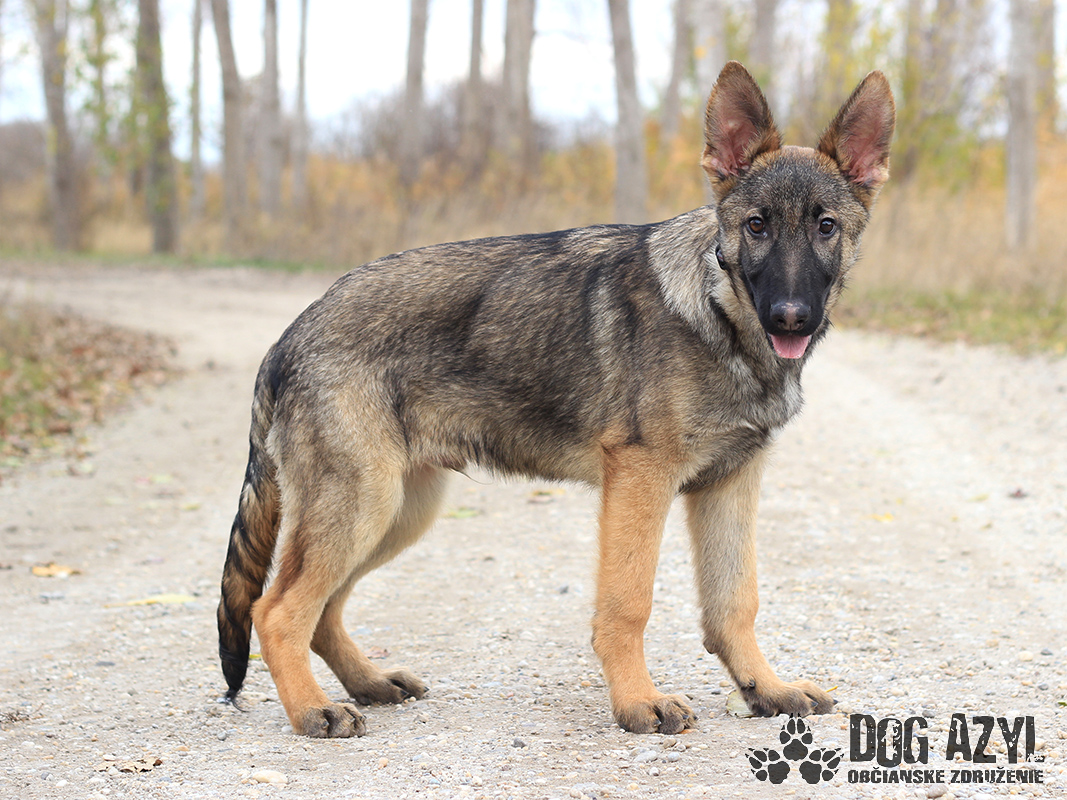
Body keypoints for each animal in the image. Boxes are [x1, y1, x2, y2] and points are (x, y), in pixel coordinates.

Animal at [217, 61, 895, 738]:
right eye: (757, 225)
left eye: (825, 228)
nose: (791, 317)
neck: (718, 312)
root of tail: (291, 334)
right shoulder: (641, 479)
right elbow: (629, 602)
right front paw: (637, 701)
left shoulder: (729, 485)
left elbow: (736, 602)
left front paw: (766, 689)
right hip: (363, 505)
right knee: (277, 610)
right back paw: (314, 709)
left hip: (397, 512)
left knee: (322, 610)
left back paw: (367, 683)